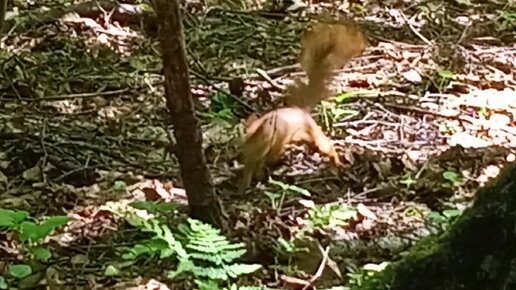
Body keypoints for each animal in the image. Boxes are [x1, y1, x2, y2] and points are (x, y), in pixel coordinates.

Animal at [238, 20, 366, 193]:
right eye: (241, 151)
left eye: (260, 146)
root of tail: (301, 111)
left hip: (312, 132)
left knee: (326, 145)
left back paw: (336, 161)